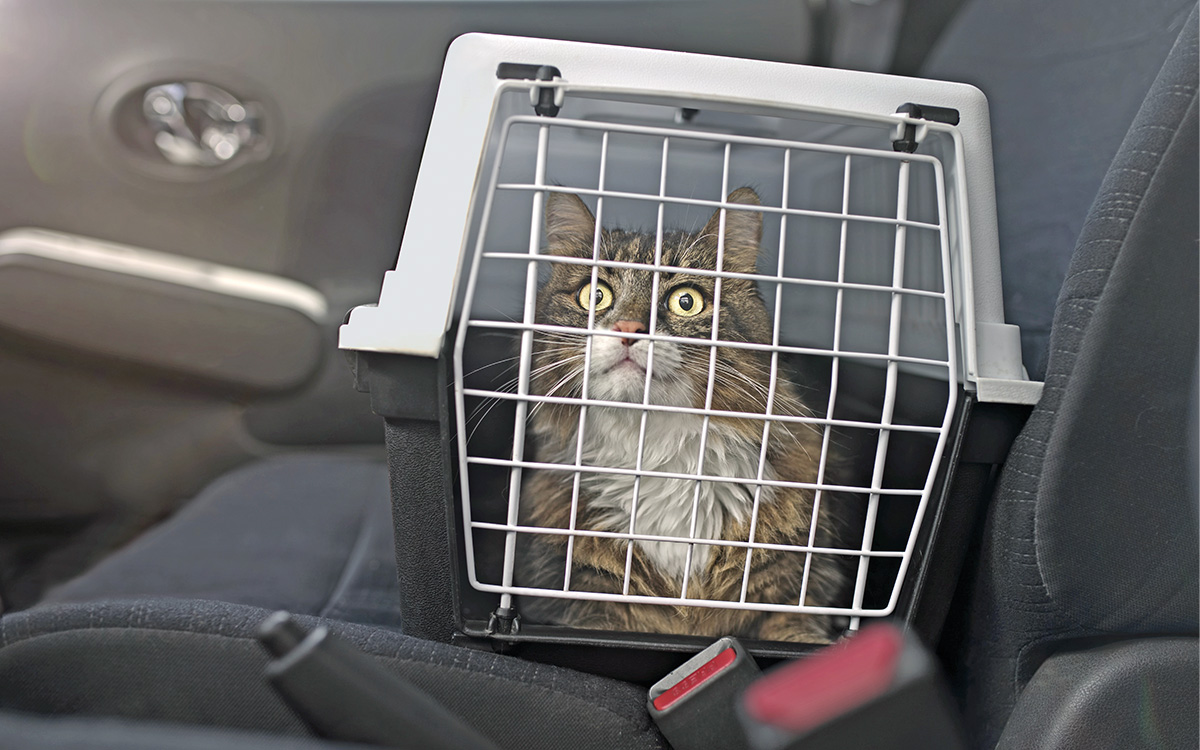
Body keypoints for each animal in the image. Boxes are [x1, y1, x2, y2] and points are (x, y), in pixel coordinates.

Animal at [511, 188, 849, 643]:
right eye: (595, 295)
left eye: (685, 302)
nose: (628, 328)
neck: (656, 454)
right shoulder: (583, 606)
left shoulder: (797, 594)